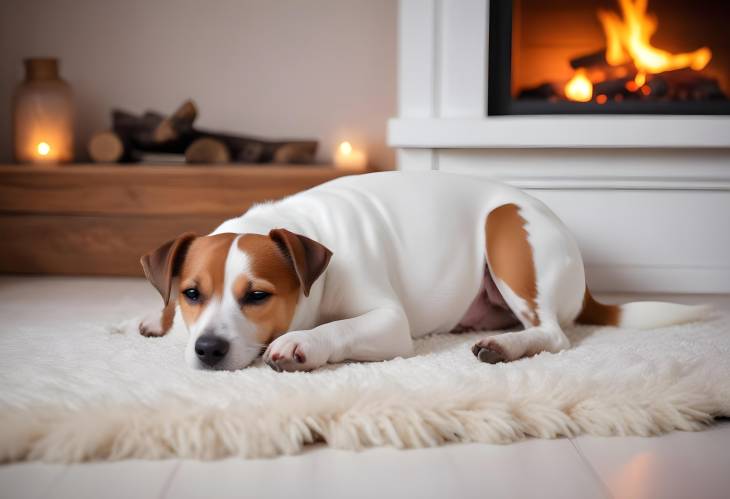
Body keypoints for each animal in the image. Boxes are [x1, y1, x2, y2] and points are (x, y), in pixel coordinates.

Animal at [138, 172, 704, 372]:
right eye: (191, 293)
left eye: (256, 296)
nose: (208, 349)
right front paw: (154, 320)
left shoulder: (388, 322)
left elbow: (338, 327)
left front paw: (302, 343)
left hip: (506, 232)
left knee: (553, 334)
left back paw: (505, 347)